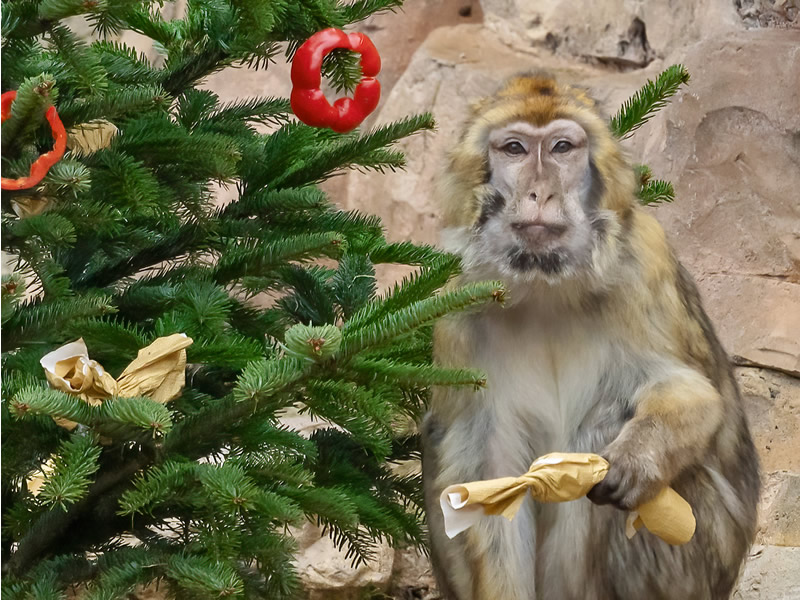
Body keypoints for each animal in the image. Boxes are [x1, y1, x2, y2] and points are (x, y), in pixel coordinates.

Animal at [422, 75, 760, 600]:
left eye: (562, 147)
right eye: (515, 149)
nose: (539, 192)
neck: (546, 287)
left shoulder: (645, 260)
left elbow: (692, 393)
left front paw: (637, 460)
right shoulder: (457, 306)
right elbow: (486, 472)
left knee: (602, 426)